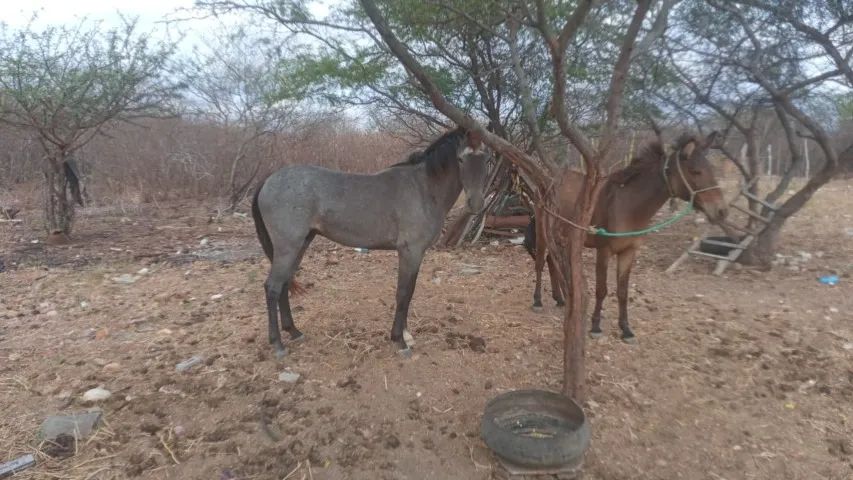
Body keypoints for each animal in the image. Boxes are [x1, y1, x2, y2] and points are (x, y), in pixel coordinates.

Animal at [251, 127, 491, 358]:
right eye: (460, 159)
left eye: (486, 159)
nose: (476, 203)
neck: (422, 188)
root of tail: (268, 180)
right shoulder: (410, 251)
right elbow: (403, 293)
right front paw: (400, 341)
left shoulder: (417, 254)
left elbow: (410, 292)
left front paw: (406, 334)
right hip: (288, 247)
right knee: (273, 287)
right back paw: (278, 345)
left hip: (300, 244)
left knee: (284, 284)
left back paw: (294, 332)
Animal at [525, 132, 727, 342]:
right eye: (696, 172)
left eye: (711, 170)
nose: (722, 211)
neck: (627, 206)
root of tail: (548, 180)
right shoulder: (604, 251)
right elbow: (602, 289)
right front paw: (596, 326)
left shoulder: (629, 252)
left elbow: (622, 291)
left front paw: (626, 329)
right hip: (543, 232)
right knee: (540, 263)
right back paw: (538, 301)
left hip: (560, 236)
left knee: (552, 261)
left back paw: (560, 298)